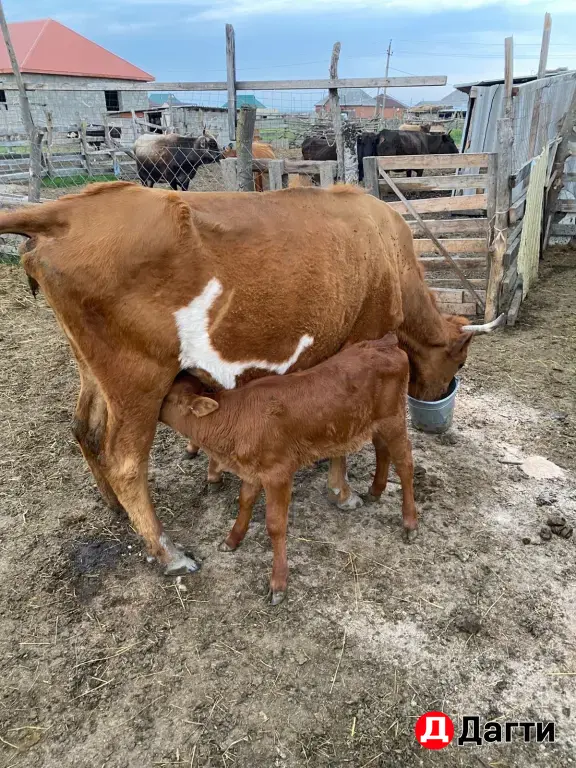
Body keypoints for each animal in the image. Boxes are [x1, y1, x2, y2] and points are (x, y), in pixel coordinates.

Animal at [0, 182, 503, 576]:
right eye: (459, 364)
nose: (436, 397)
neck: (388, 253)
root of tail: (70, 210)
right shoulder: (358, 344)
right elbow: (343, 437)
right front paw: (342, 493)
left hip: (92, 370)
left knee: (83, 429)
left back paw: (112, 506)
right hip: (137, 379)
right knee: (124, 462)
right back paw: (167, 552)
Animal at [161, 334, 415, 604]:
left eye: (166, 398)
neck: (235, 418)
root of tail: (385, 342)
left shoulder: (278, 474)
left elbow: (275, 525)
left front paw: (278, 582)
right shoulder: (253, 471)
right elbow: (244, 502)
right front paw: (232, 539)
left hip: (394, 420)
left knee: (405, 465)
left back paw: (410, 523)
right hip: (374, 424)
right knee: (382, 450)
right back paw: (375, 490)